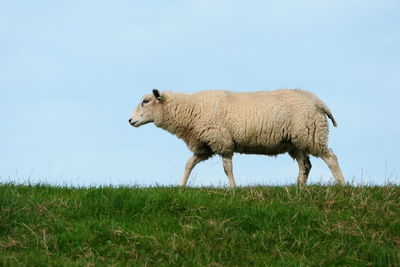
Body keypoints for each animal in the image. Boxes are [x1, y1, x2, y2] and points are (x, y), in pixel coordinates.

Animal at [130, 89, 346, 187]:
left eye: (146, 101)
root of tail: (318, 101)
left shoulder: (222, 141)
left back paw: (342, 186)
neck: (191, 110)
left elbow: (227, 169)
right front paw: (181, 187)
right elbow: (189, 164)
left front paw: (233, 189)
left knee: (331, 158)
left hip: (311, 135)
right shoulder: (206, 147)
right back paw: (299, 189)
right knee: (305, 164)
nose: (130, 120)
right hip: (296, 141)